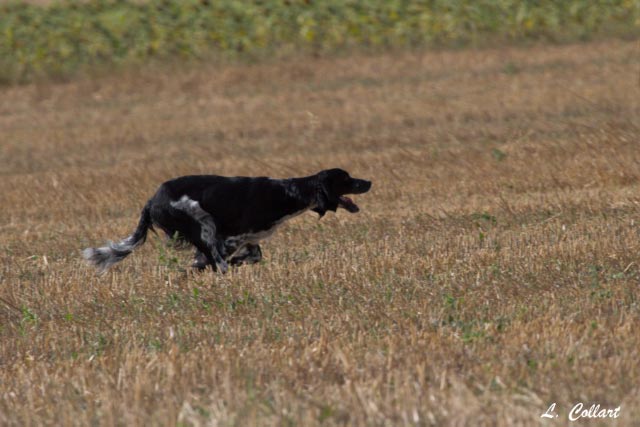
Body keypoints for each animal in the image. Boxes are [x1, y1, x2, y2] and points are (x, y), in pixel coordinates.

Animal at [82, 169, 370, 272]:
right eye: (346, 178)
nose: (369, 182)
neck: (288, 192)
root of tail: (152, 201)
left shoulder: (251, 239)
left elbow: (254, 256)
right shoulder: (230, 237)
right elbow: (215, 260)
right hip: (202, 223)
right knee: (216, 261)